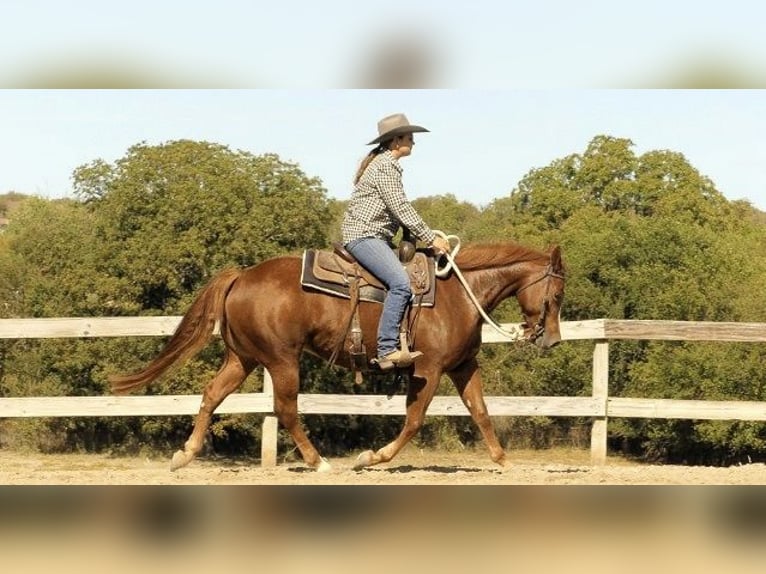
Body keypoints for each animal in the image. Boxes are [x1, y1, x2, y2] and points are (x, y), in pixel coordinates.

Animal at [109, 239, 566, 471]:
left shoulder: (462, 366)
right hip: (282, 361)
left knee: (211, 395)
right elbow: (415, 420)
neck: (460, 295)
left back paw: (184, 454)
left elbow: (481, 411)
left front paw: (502, 459)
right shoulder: (429, 368)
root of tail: (242, 275)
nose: (552, 341)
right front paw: (372, 457)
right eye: (558, 294)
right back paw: (319, 462)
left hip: (242, 359)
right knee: (286, 409)